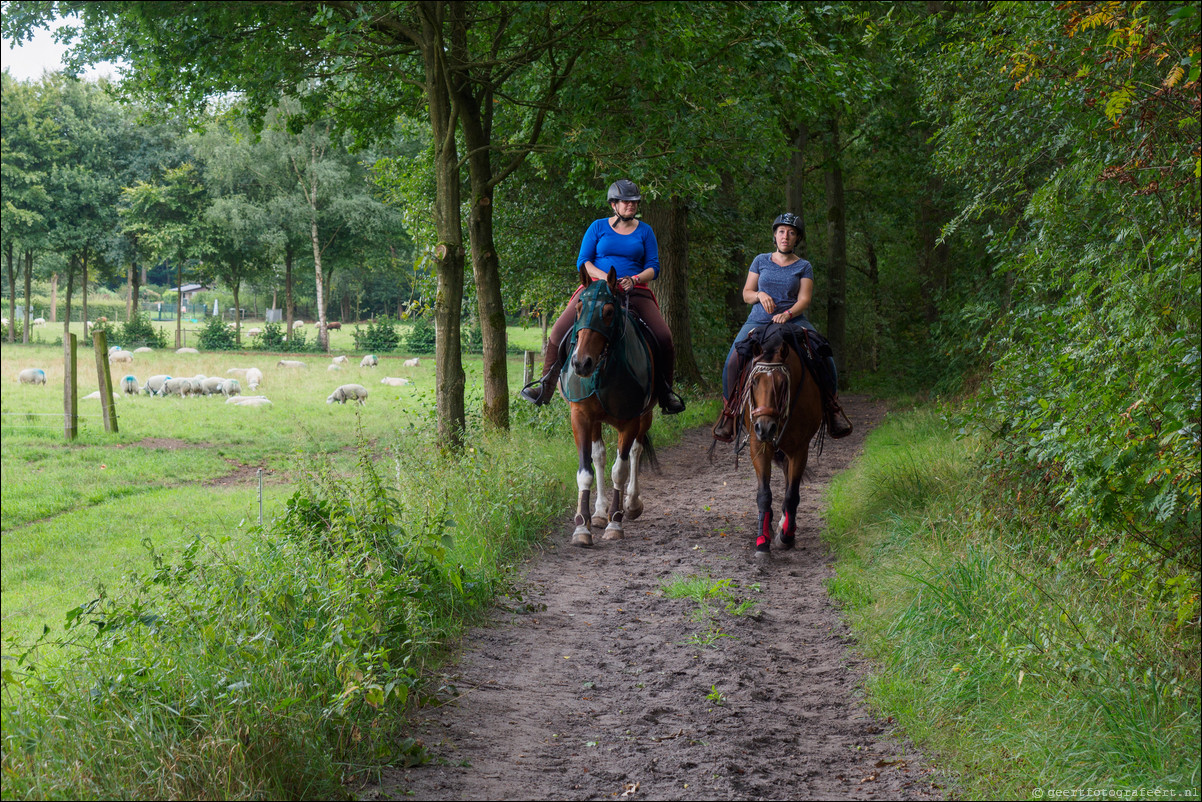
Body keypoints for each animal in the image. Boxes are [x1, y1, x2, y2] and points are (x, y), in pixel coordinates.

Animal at [560, 266, 658, 548]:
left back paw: (631, 504)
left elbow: (620, 470)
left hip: (645, 415)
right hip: (596, 421)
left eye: (609, 311)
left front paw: (616, 522)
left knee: (635, 451)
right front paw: (583, 526)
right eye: (578, 308)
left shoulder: (630, 421)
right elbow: (586, 470)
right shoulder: (581, 417)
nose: (581, 363)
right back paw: (599, 512)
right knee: (600, 456)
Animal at [740, 322, 826, 562]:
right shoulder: (759, 446)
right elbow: (764, 495)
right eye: (754, 381)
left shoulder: (800, 449)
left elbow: (791, 495)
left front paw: (786, 536)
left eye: (781, 384)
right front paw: (762, 542)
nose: (765, 427)